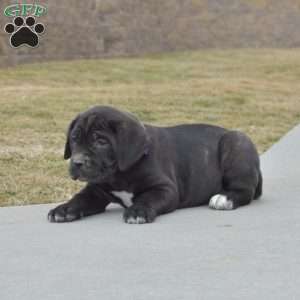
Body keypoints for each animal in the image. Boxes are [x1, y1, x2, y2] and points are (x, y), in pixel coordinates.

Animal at [47, 106, 262, 224]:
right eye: (74, 138)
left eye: (101, 142)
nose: (77, 162)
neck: (119, 175)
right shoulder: (95, 191)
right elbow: (80, 198)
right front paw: (64, 209)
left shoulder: (165, 188)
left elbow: (148, 198)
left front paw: (138, 211)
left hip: (236, 142)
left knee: (245, 191)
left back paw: (224, 198)